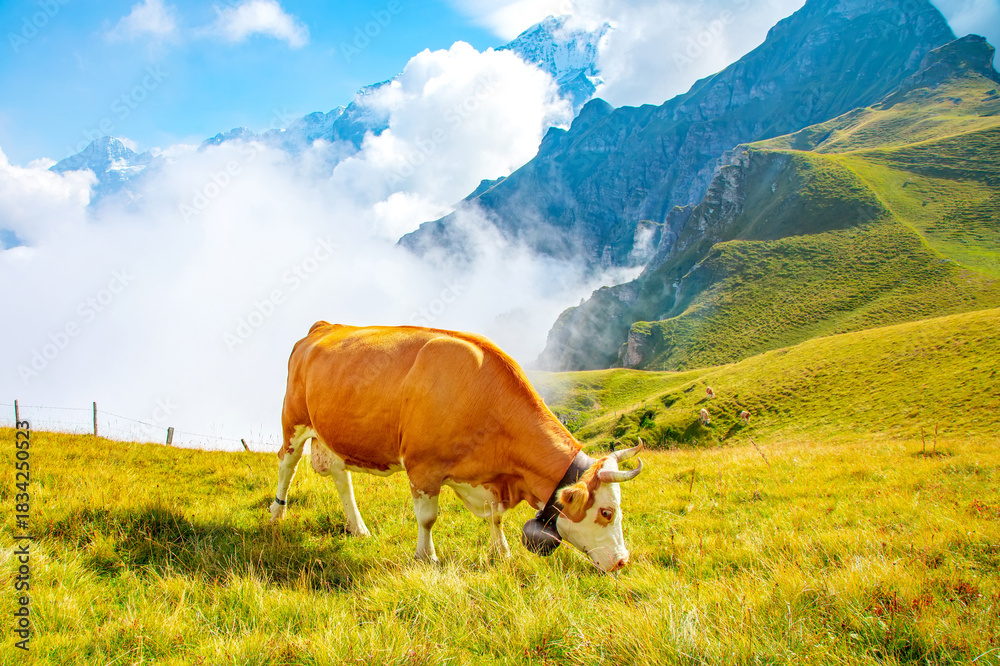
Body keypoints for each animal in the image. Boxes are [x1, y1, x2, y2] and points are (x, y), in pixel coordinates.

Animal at [269, 322, 644, 573]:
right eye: (606, 512)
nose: (623, 561)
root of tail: (324, 326)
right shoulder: (423, 467)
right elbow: (427, 518)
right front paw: (426, 557)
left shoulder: (490, 479)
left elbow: (496, 517)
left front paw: (502, 552)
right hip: (293, 422)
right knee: (286, 466)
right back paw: (276, 515)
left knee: (340, 476)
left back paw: (358, 528)